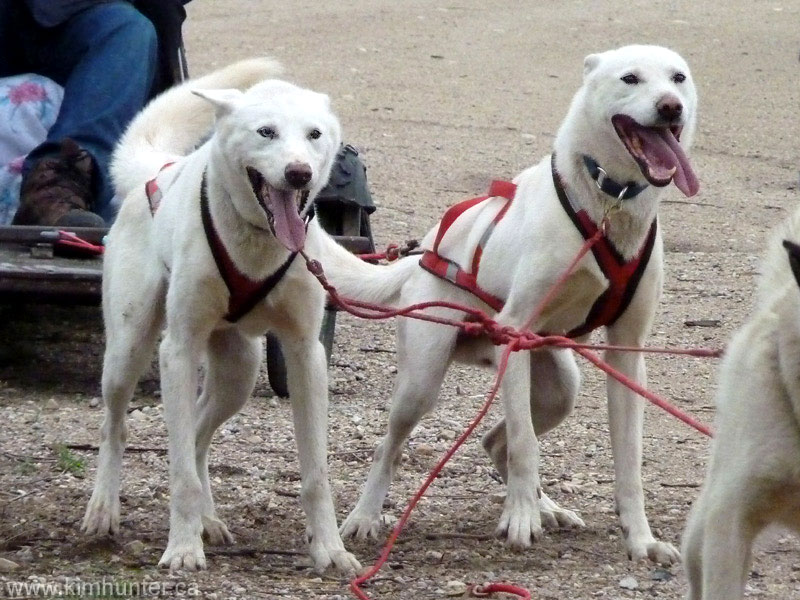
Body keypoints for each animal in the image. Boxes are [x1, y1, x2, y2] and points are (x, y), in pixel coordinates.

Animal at [80, 58, 360, 574]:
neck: (257, 241)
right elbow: (179, 475)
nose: (298, 173)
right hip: (128, 351)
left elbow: (315, 473)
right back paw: (104, 510)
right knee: (117, 429)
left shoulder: (306, 356)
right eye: (266, 131)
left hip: (238, 373)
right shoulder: (178, 349)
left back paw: (208, 521)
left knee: (197, 435)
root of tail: (159, 170)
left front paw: (330, 550)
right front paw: (182, 548)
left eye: (314, 134)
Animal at [315, 44, 699, 564]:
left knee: (494, 439)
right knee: (394, 448)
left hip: (559, 390)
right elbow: (525, 446)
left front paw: (640, 539)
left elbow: (627, 466)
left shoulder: (626, 354)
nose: (670, 107)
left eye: (678, 78)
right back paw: (365, 517)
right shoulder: (515, 333)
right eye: (630, 78)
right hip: (422, 384)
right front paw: (519, 519)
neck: (607, 204)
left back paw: (548, 507)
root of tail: (422, 254)